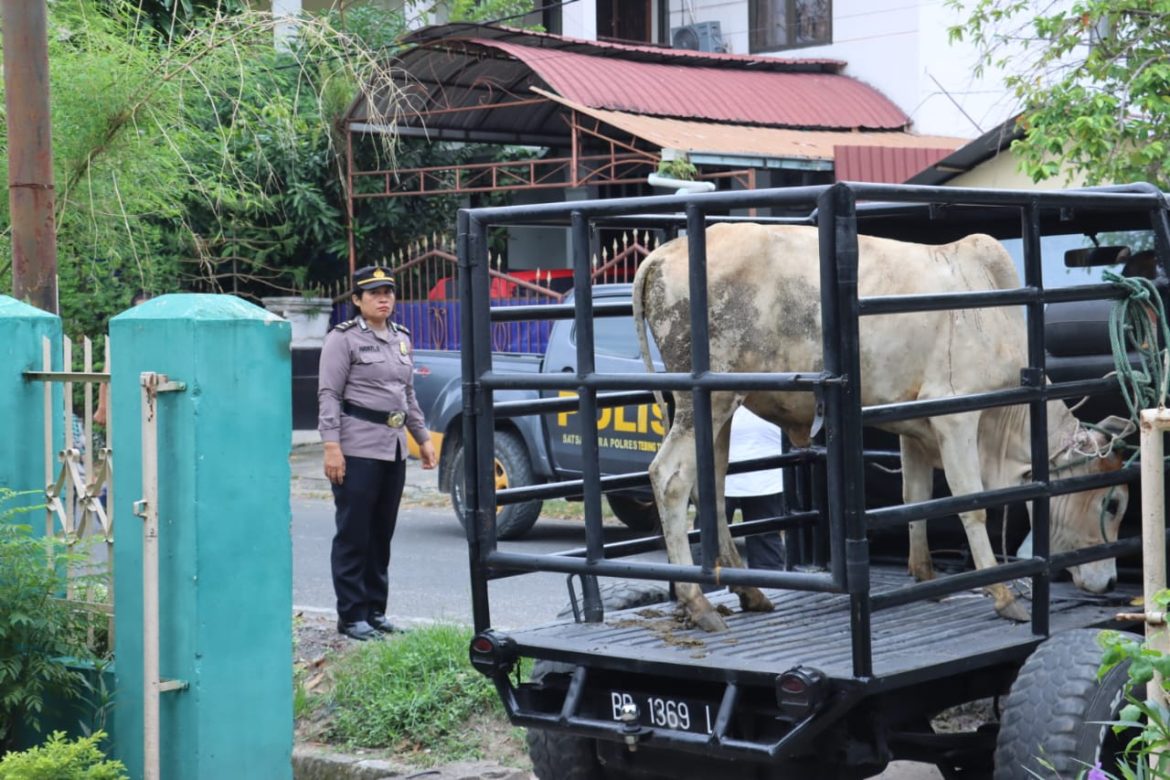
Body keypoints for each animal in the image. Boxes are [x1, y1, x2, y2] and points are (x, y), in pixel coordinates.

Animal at [636, 221, 1127, 636]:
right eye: (1115, 502)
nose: (1109, 583)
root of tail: (663, 254)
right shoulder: (956, 417)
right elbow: (971, 505)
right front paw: (1003, 594)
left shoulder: (915, 429)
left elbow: (917, 498)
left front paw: (926, 575)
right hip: (706, 403)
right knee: (670, 478)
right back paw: (698, 603)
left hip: (719, 406)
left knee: (713, 485)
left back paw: (748, 591)